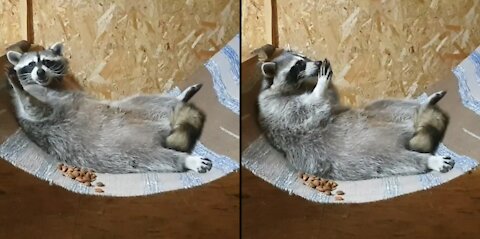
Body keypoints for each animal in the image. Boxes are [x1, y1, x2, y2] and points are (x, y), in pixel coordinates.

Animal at [5, 43, 212, 174]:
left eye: (46, 61)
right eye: (31, 64)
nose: (40, 72)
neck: (49, 84)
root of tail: (163, 127)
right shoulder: (32, 107)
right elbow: (33, 108)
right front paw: (17, 86)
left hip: (133, 111)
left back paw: (179, 98)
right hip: (125, 150)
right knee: (155, 159)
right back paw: (185, 159)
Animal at [256, 50, 452, 181]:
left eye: (304, 57)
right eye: (298, 65)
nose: (318, 63)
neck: (297, 87)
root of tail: (408, 130)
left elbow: (332, 101)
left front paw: (325, 84)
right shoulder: (276, 109)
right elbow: (307, 109)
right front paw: (321, 86)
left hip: (382, 112)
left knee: (392, 106)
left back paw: (423, 106)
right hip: (369, 157)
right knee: (398, 162)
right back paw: (428, 160)